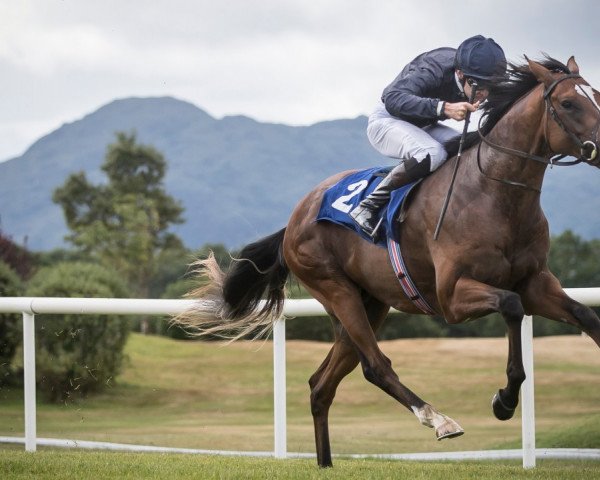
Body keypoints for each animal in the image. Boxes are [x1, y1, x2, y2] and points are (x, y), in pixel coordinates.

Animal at [176, 58, 600, 466]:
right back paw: (438, 419)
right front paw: (505, 400)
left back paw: (326, 463)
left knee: (321, 385)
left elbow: (586, 316)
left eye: (595, 95)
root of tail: (294, 220)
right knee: (375, 365)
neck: (494, 194)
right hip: (337, 291)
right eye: (568, 103)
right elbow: (511, 307)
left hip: (370, 303)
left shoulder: (535, 283)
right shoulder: (453, 297)